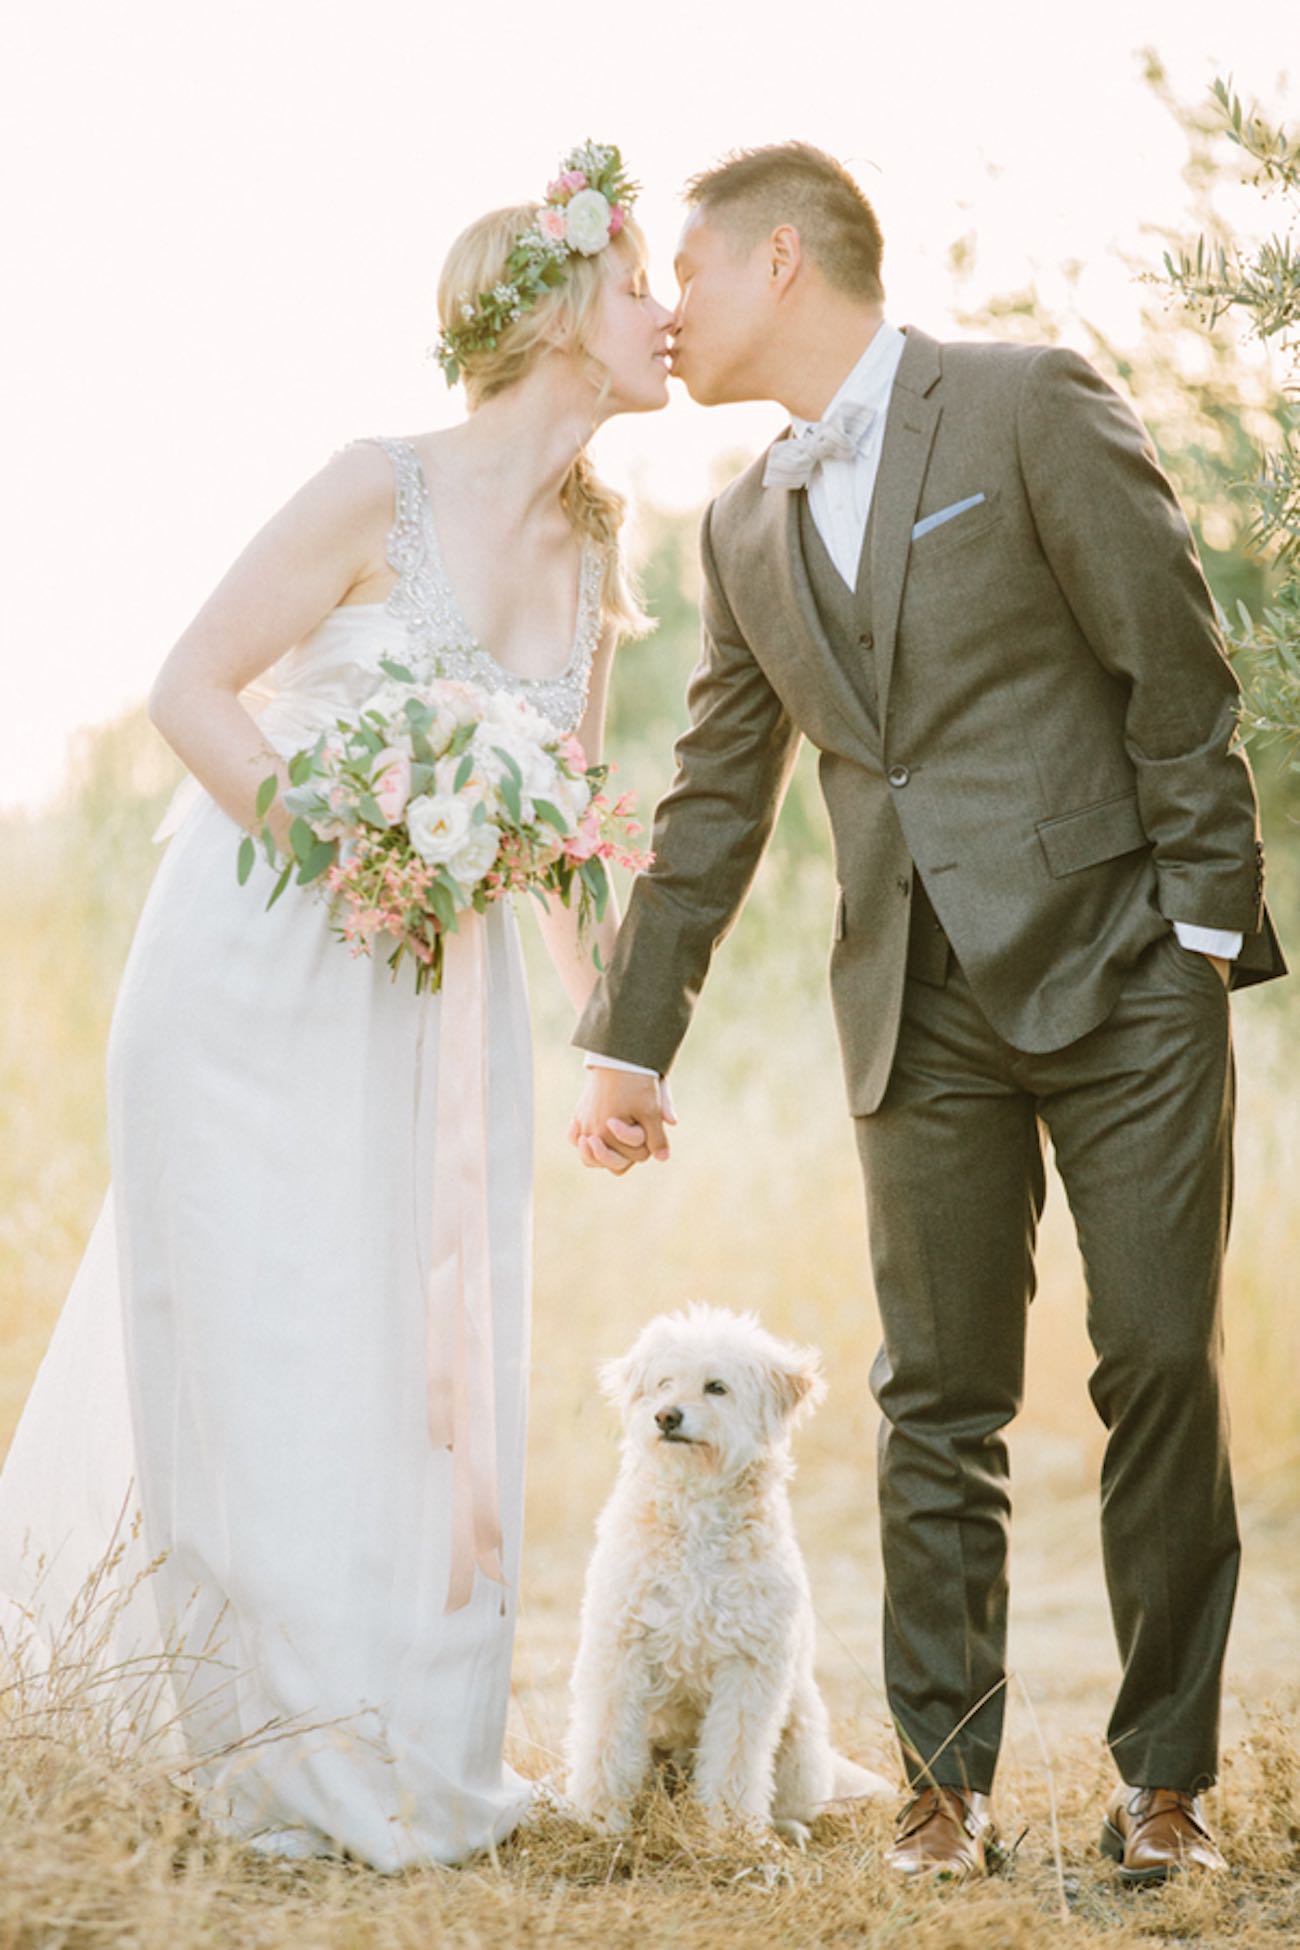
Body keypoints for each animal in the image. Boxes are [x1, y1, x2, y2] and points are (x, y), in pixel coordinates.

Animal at [565, 1302, 888, 1833]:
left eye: (717, 1387)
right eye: (663, 1383)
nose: (666, 1416)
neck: (697, 1509)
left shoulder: (748, 1668)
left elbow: (735, 1755)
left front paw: (729, 1827)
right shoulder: (621, 1649)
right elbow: (605, 1742)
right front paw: (599, 1816)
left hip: (800, 1737)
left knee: (793, 1802)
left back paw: (783, 1829)